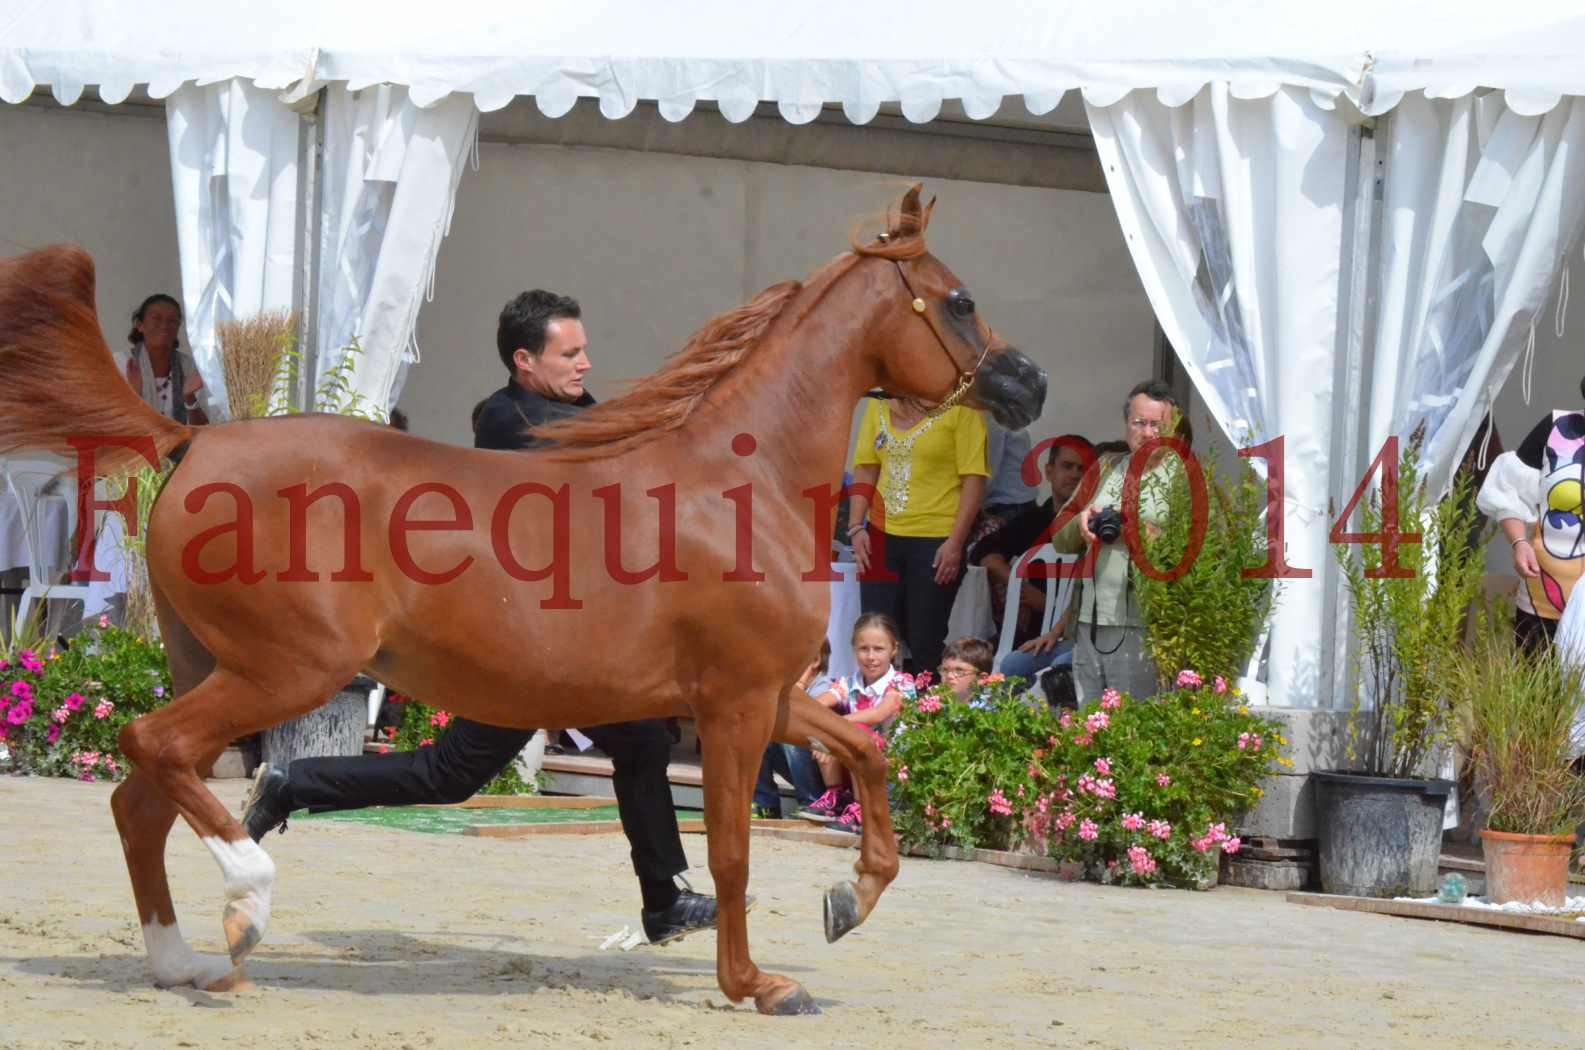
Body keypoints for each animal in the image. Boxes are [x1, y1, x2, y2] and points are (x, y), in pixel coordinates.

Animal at [0, 187, 1046, 1015]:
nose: (1028, 383)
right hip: (286, 669)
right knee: (153, 749)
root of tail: (191, 440)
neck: (734, 484)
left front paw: (847, 901)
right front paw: (757, 985)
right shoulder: (738, 705)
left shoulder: (759, 696)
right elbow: (733, 853)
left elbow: (866, 752)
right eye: (959, 299)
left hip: (215, 665)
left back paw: (181, 960)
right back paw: (248, 901)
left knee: (142, 795)